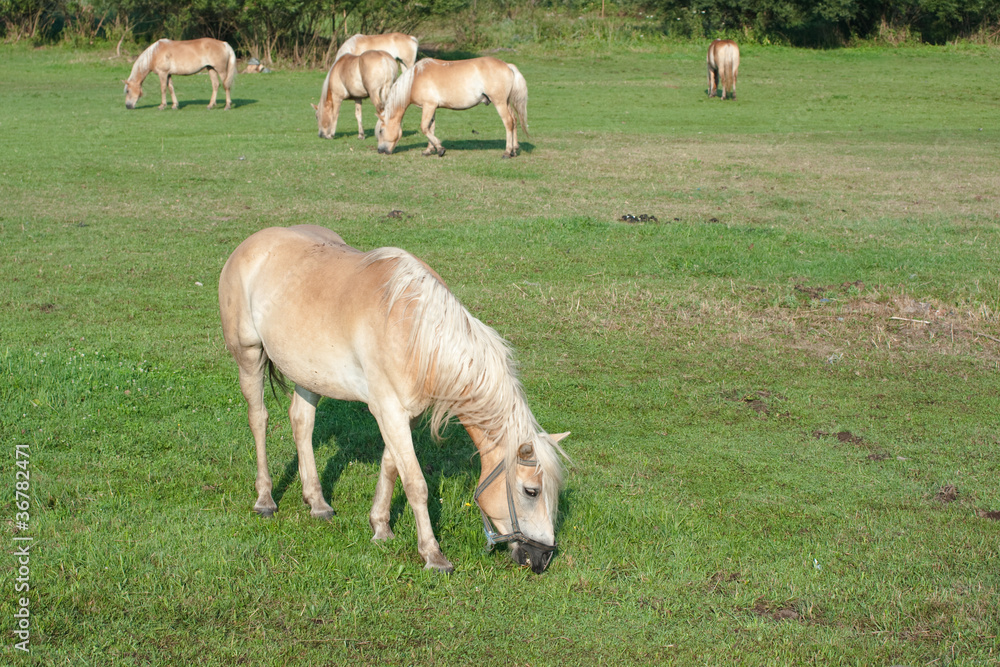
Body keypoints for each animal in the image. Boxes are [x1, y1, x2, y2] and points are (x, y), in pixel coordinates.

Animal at [218, 225, 569, 573]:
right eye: (531, 491)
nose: (543, 558)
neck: (414, 329)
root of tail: (253, 242)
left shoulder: (404, 415)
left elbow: (390, 467)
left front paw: (380, 527)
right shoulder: (389, 410)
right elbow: (415, 484)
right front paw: (432, 554)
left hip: (308, 373)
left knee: (302, 423)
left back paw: (317, 503)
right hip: (249, 356)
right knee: (258, 418)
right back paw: (265, 499)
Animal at [375, 57, 528, 158]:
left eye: (381, 131)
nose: (380, 151)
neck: (415, 79)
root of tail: (507, 65)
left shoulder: (428, 106)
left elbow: (424, 128)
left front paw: (440, 149)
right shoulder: (431, 108)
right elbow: (430, 127)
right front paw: (429, 150)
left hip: (500, 102)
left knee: (508, 122)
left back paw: (507, 152)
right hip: (506, 102)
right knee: (514, 121)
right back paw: (514, 149)